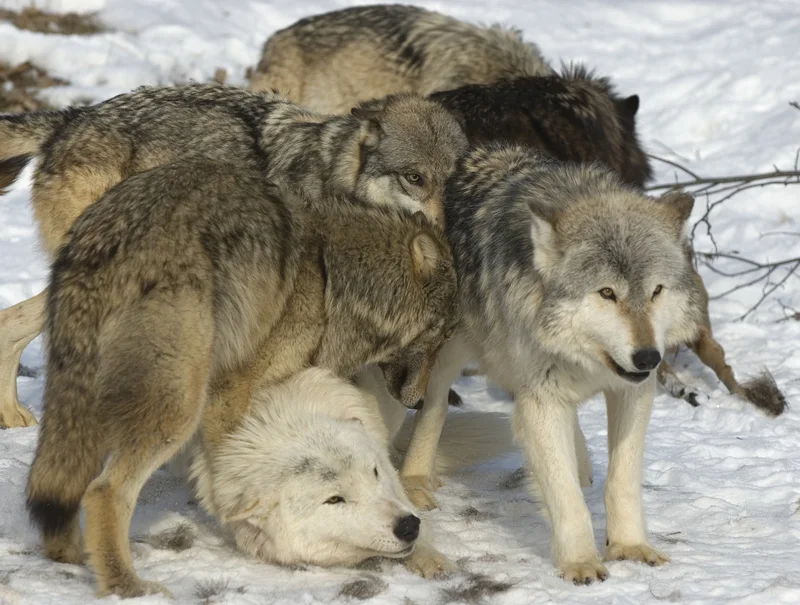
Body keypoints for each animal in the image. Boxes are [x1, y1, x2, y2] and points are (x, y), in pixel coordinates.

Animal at [24, 158, 458, 598]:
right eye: (443, 335)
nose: (421, 401)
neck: (330, 277)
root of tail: (106, 238)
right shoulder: (231, 390)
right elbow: (230, 466)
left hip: (84, 397)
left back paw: (71, 553)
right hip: (179, 407)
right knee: (103, 491)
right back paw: (126, 584)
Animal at [395, 145, 705, 583]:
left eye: (656, 291)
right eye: (606, 293)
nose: (649, 357)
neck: (586, 359)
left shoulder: (631, 391)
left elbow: (622, 480)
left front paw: (629, 547)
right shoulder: (541, 399)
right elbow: (565, 495)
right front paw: (580, 563)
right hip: (449, 351)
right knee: (433, 407)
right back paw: (416, 481)